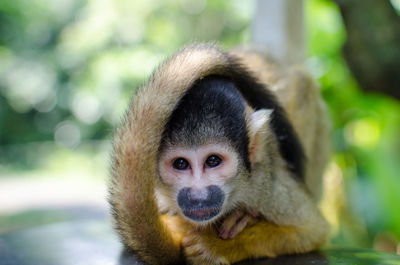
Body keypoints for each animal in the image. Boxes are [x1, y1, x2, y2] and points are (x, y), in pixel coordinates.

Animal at [108, 43, 330, 264]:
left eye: (213, 160)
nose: (198, 197)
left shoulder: (264, 185)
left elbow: (312, 230)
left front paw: (217, 245)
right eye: (181, 164)